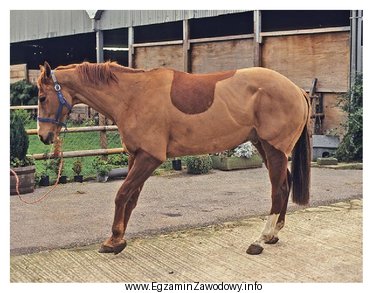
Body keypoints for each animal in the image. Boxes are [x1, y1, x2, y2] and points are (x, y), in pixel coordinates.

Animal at [36, 60, 310, 254]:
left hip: (273, 149)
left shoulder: (149, 158)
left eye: (41, 97)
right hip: (263, 145)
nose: (44, 136)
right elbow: (131, 198)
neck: (133, 95)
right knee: (284, 184)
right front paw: (118, 238)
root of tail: (297, 90)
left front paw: (113, 241)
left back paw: (261, 239)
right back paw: (274, 234)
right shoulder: (136, 156)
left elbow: (122, 194)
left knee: (278, 189)